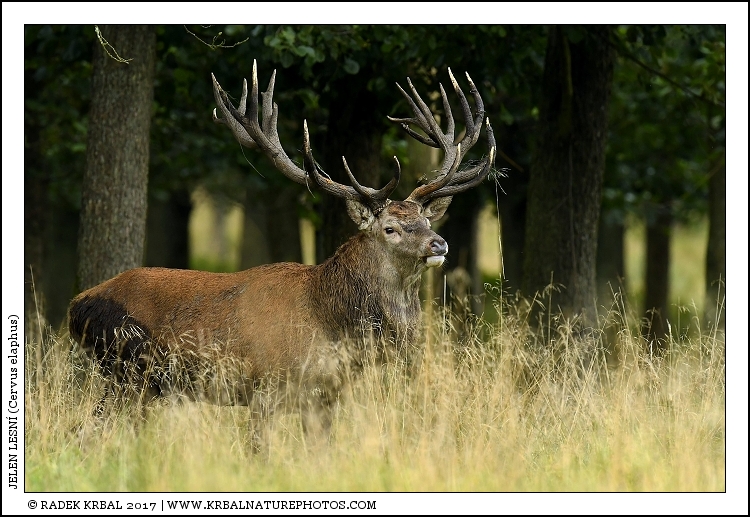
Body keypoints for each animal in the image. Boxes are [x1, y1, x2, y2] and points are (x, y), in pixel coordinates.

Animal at [68, 60, 496, 437]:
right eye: (390, 228)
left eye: (427, 221)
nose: (438, 243)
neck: (329, 322)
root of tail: (76, 306)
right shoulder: (264, 387)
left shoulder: (325, 397)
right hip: (126, 370)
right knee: (89, 431)